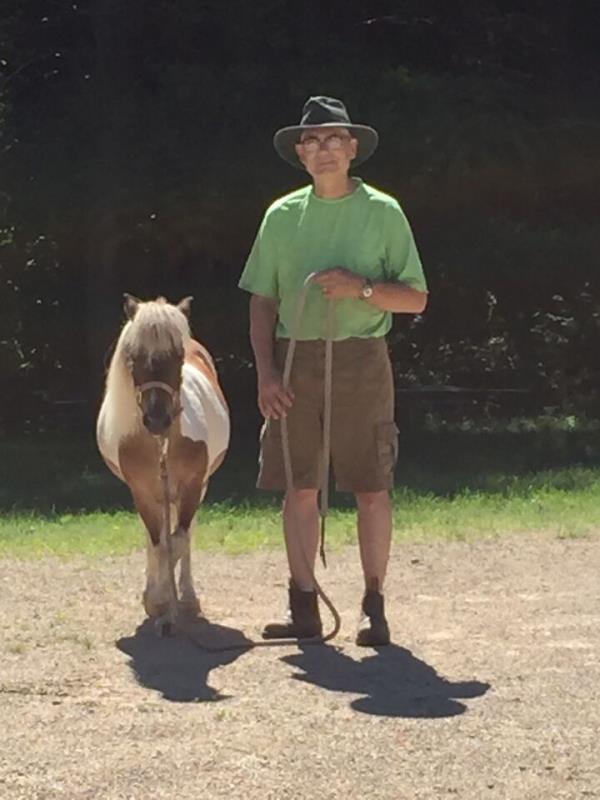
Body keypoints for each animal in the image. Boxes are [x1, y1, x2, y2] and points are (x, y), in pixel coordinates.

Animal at [96, 296, 230, 624]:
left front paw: (174, 600)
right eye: (133, 356)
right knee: (152, 537)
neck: (162, 444)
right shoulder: (142, 492)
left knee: (185, 535)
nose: (157, 419)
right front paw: (155, 599)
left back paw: (187, 596)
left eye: (178, 355)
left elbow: (177, 542)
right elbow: (158, 544)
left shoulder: (193, 486)